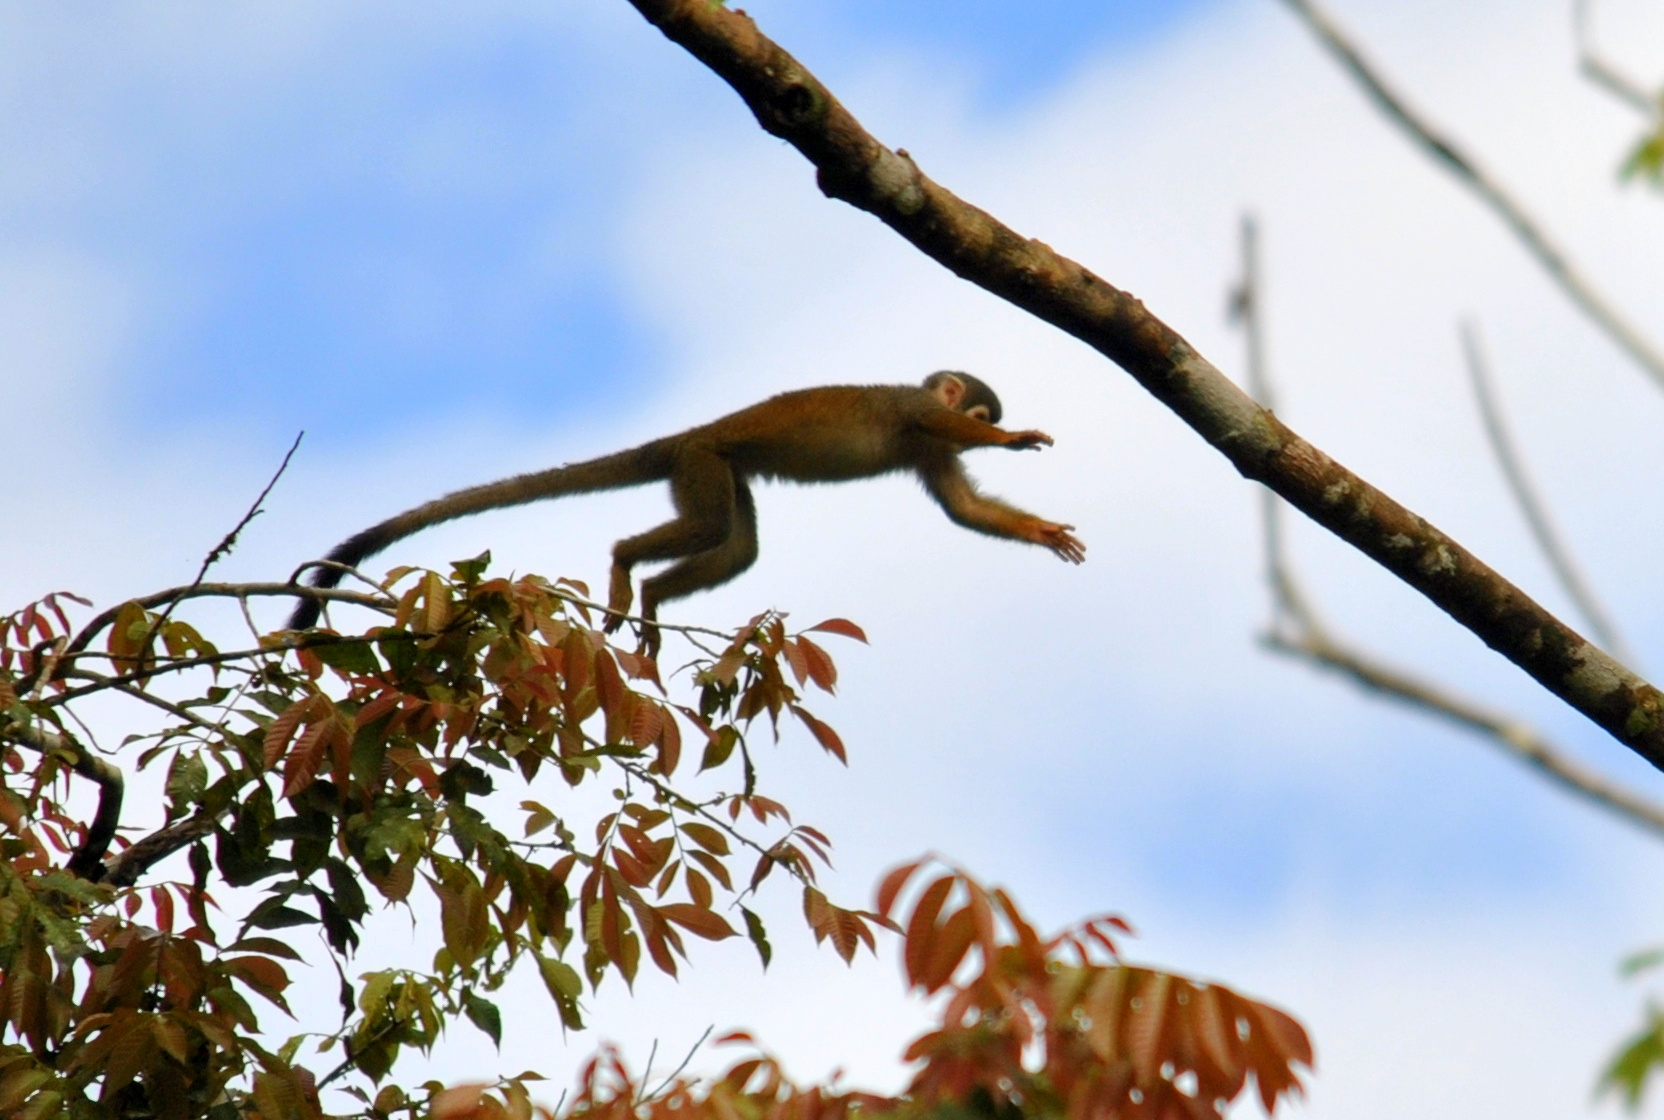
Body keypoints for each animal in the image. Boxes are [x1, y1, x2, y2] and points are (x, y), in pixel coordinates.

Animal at [291, 371, 1084, 642]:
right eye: (980, 411)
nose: (990, 422)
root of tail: (688, 436)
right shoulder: (919, 413)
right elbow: (954, 444)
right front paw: (1014, 439)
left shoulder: (929, 446)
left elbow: (963, 508)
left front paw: (1044, 531)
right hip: (702, 465)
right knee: (708, 526)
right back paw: (624, 568)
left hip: (719, 470)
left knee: (735, 543)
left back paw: (650, 598)